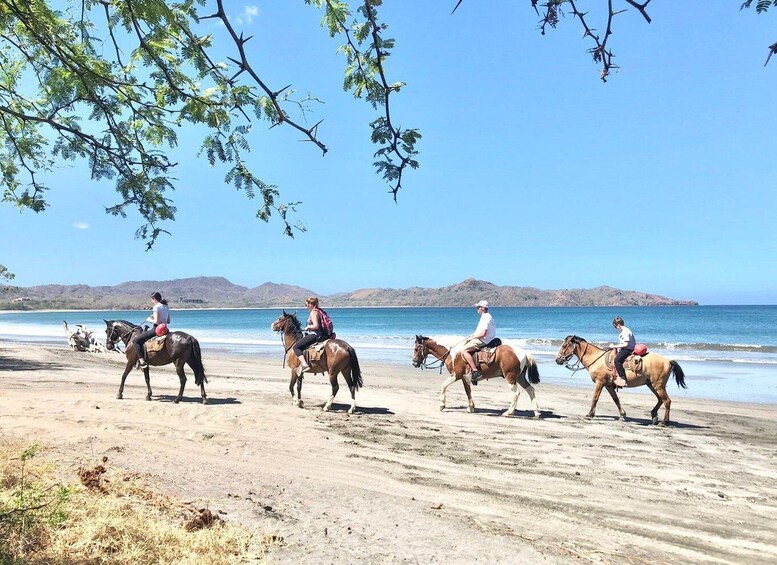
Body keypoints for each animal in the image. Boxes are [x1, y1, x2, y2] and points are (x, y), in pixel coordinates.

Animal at [410, 334, 544, 418]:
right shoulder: (465, 377)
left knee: (516, 393)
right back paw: (536, 412)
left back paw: (509, 412)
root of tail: (523, 352)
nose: (414, 363)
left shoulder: (456, 375)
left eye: (416, 349)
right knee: (530, 389)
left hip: (510, 377)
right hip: (520, 377)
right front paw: (470, 408)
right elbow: (467, 391)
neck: (452, 353)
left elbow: (443, 386)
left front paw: (442, 405)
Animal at [552, 334, 684, 424]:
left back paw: (664, 422)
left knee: (667, 401)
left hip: (658, 385)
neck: (596, 358)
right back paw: (654, 416)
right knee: (660, 400)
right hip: (652, 385)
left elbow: (595, 398)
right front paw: (622, 415)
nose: (557, 360)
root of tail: (668, 361)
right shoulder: (608, 385)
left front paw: (590, 414)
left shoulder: (600, 382)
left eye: (564, 345)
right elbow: (616, 399)